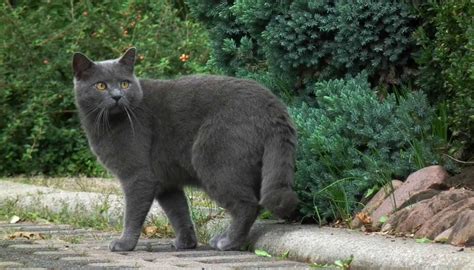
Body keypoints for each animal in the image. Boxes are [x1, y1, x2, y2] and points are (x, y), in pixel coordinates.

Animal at [71, 48, 296, 251]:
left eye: (124, 83)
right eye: (101, 85)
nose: (117, 96)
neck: (105, 124)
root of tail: (273, 104)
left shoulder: (138, 175)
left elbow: (132, 215)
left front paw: (124, 244)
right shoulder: (166, 182)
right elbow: (178, 212)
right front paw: (186, 243)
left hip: (212, 159)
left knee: (247, 204)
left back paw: (228, 242)